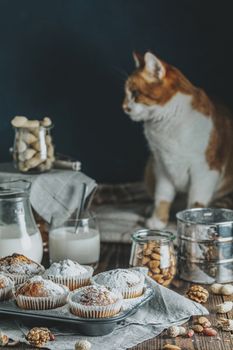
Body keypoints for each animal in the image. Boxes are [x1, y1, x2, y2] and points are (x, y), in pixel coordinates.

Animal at [123, 50, 233, 228]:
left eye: (135, 94)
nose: (124, 107)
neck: (167, 126)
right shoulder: (162, 166)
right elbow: (162, 197)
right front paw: (157, 221)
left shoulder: (205, 171)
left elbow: (196, 203)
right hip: (149, 169)